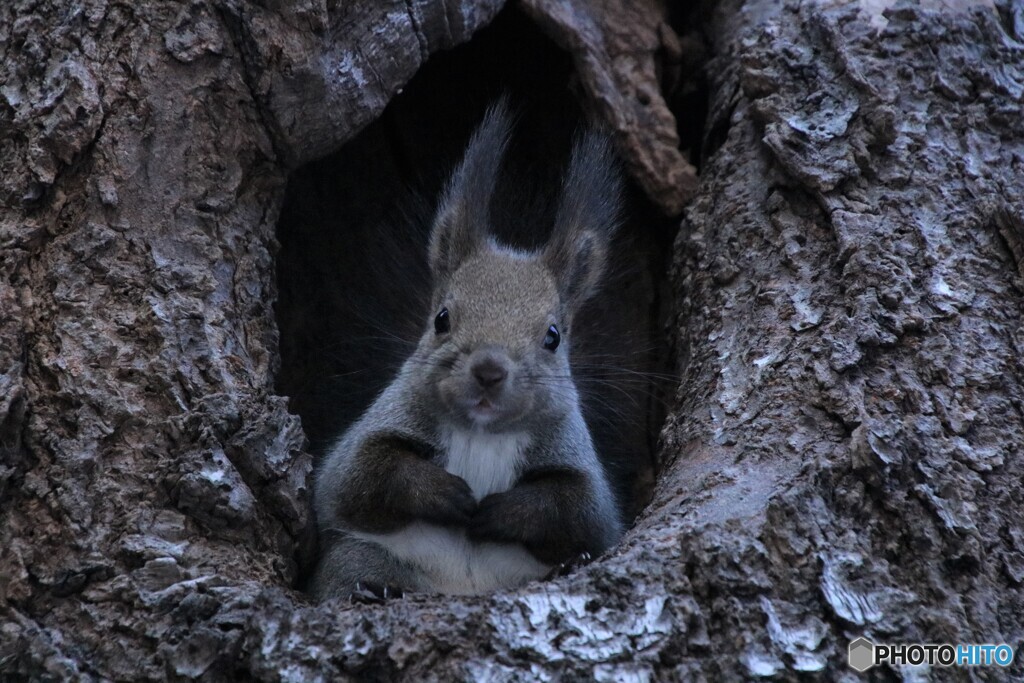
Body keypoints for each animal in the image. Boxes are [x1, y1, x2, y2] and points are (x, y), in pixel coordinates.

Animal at [307, 101, 622, 598]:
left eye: (553, 336)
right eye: (442, 319)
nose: (489, 370)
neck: (481, 434)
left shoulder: (582, 475)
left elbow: (575, 511)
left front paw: (500, 511)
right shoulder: (366, 442)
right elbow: (362, 477)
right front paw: (446, 493)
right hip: (358, 557)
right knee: (349, 572)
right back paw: (374, 592)